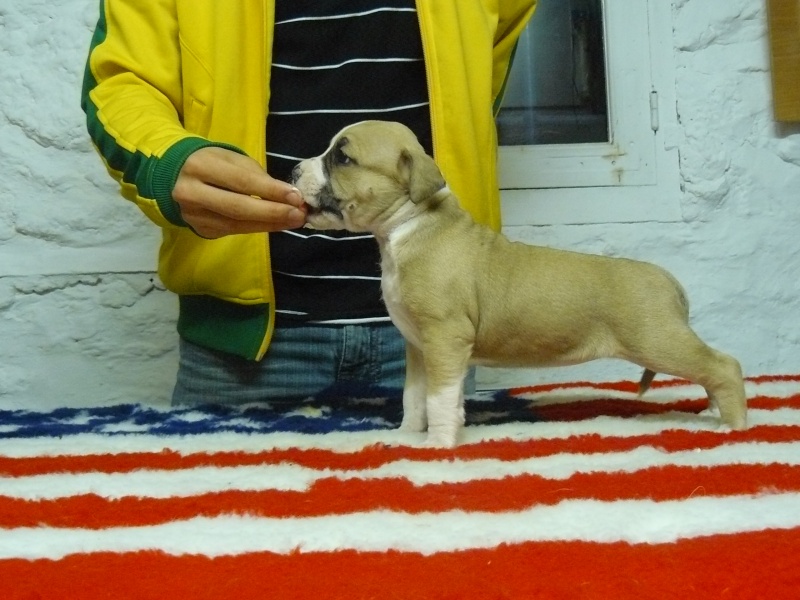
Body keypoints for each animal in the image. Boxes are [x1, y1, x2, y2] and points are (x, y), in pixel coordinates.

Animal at [294, 120, 752, 446]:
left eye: (343, 158)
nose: (294, 168)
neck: (409, 223)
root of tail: (667, 278)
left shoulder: (445, 338)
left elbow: (440, 399)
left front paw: (438, 446)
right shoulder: (420, 346)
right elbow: (415, 397)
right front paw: (406, 438)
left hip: (656, 339)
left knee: (723, 365)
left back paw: (734, 426)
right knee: (711, 369)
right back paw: (714, 413)